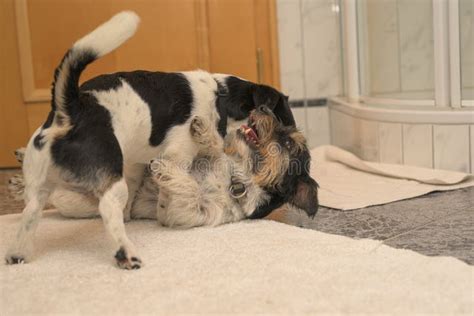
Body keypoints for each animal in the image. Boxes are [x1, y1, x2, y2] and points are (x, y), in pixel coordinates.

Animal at [5, 12, 312, 270]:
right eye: (284, 127)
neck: (219, 99)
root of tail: (68, 112)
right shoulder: (178, 155)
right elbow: (180, 182)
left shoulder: (136, 163)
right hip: (107, 180)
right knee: (107, 210)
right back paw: (127, 253)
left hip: (43, 181)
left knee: (32, 211)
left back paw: (18, 252)